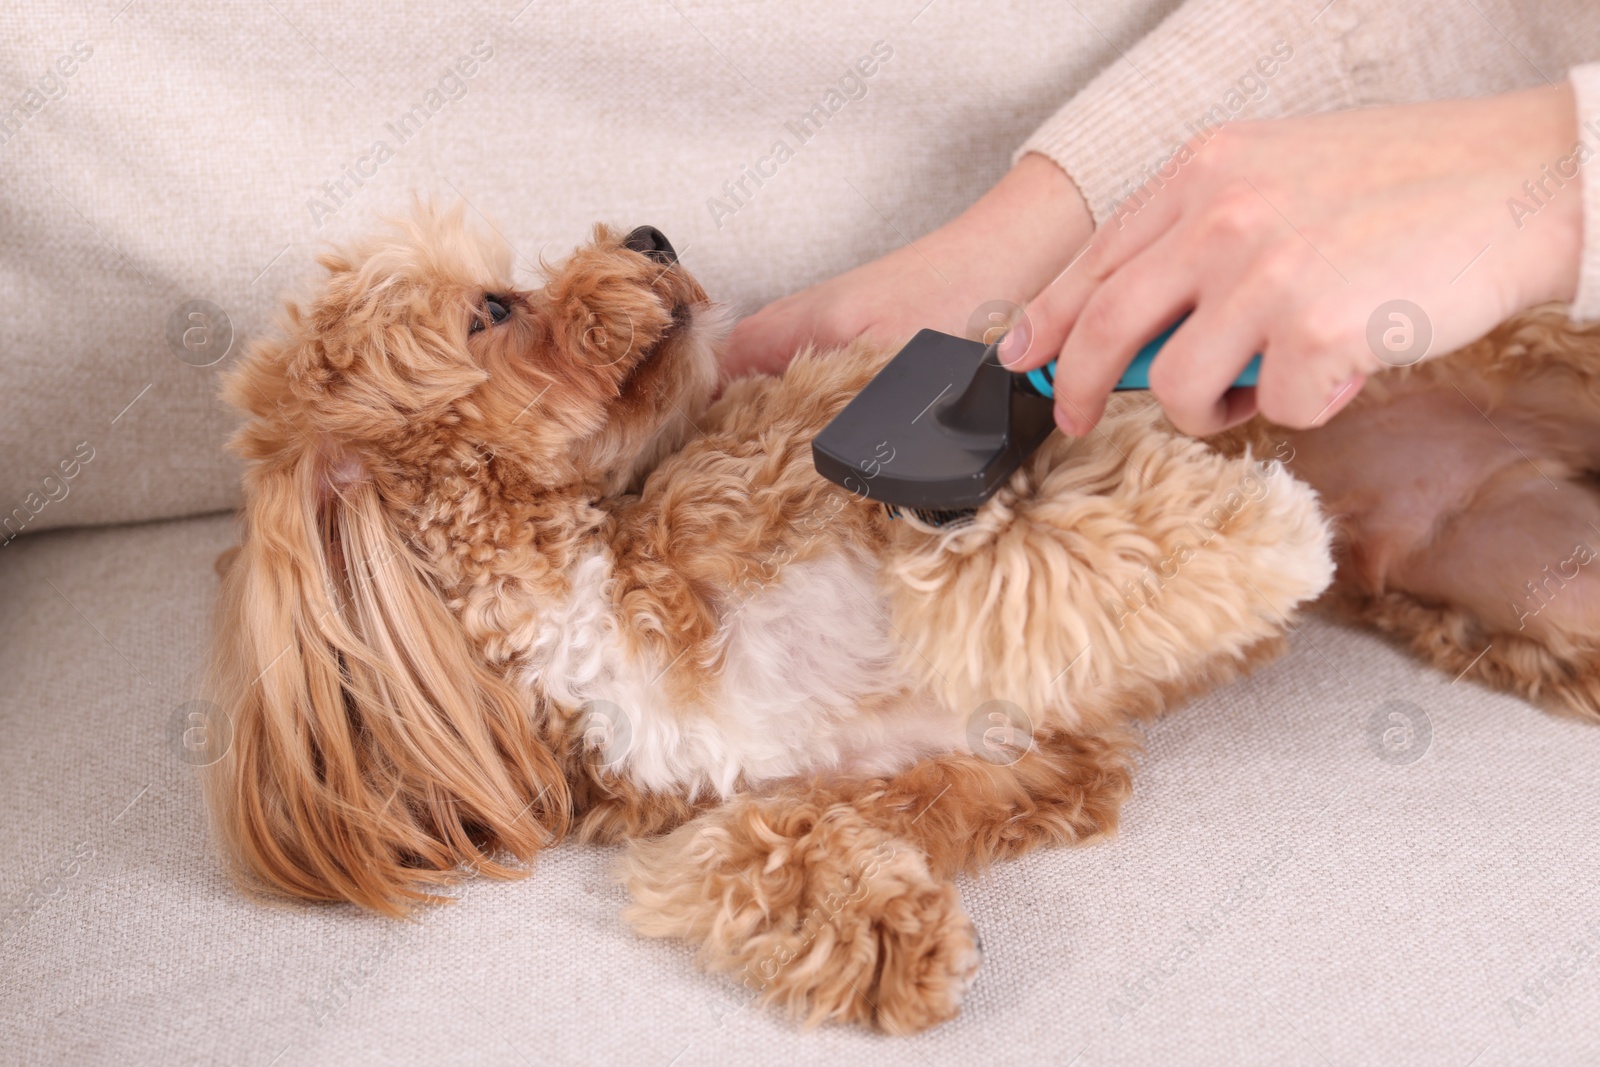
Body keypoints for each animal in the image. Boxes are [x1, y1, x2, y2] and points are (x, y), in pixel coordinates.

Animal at [206, 202, 1600, 1036]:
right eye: (493, 311)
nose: (649, 231)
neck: (612, 606)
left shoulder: (860, 475)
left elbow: (1054, 549)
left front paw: (1261, 532)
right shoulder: (944, 766)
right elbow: (754, 849)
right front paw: (889, 939)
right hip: (1546, 586)